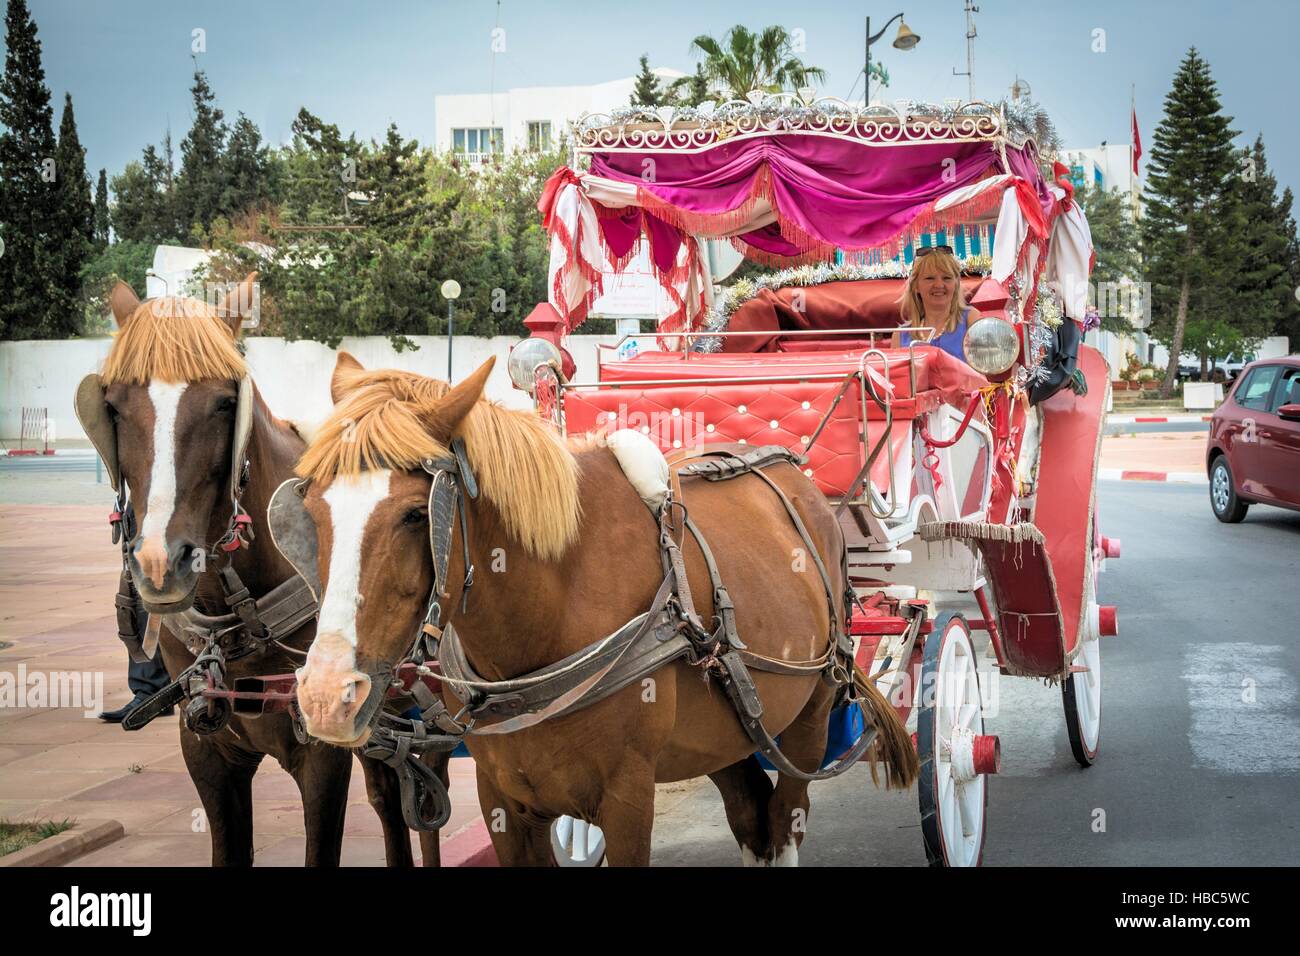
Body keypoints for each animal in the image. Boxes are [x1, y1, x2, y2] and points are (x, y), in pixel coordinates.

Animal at [291, 351, 915, 868]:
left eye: (416, 515)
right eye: (310, 507)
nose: (324, 696)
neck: (545, 618)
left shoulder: (627, 797)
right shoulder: (504, 804)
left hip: (809, 714)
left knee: (784, 825)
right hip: (729, 732)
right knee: (751, 818)